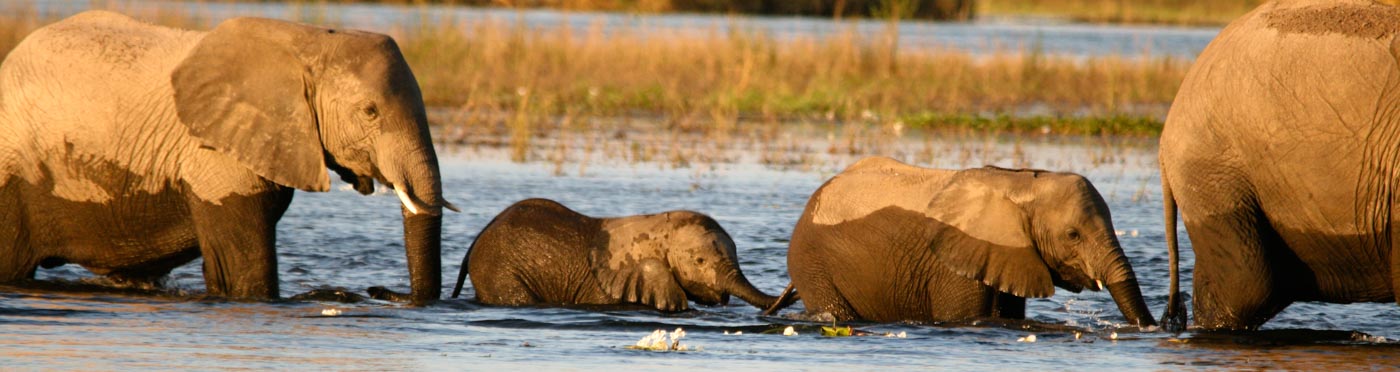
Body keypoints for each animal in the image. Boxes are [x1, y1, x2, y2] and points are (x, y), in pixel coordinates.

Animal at [772, 155, 1153, 325]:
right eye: (1073, 235)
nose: (1152, 327)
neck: (1021, 185)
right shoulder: (953, 263)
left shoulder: (1007, 255)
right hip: (813, 263)